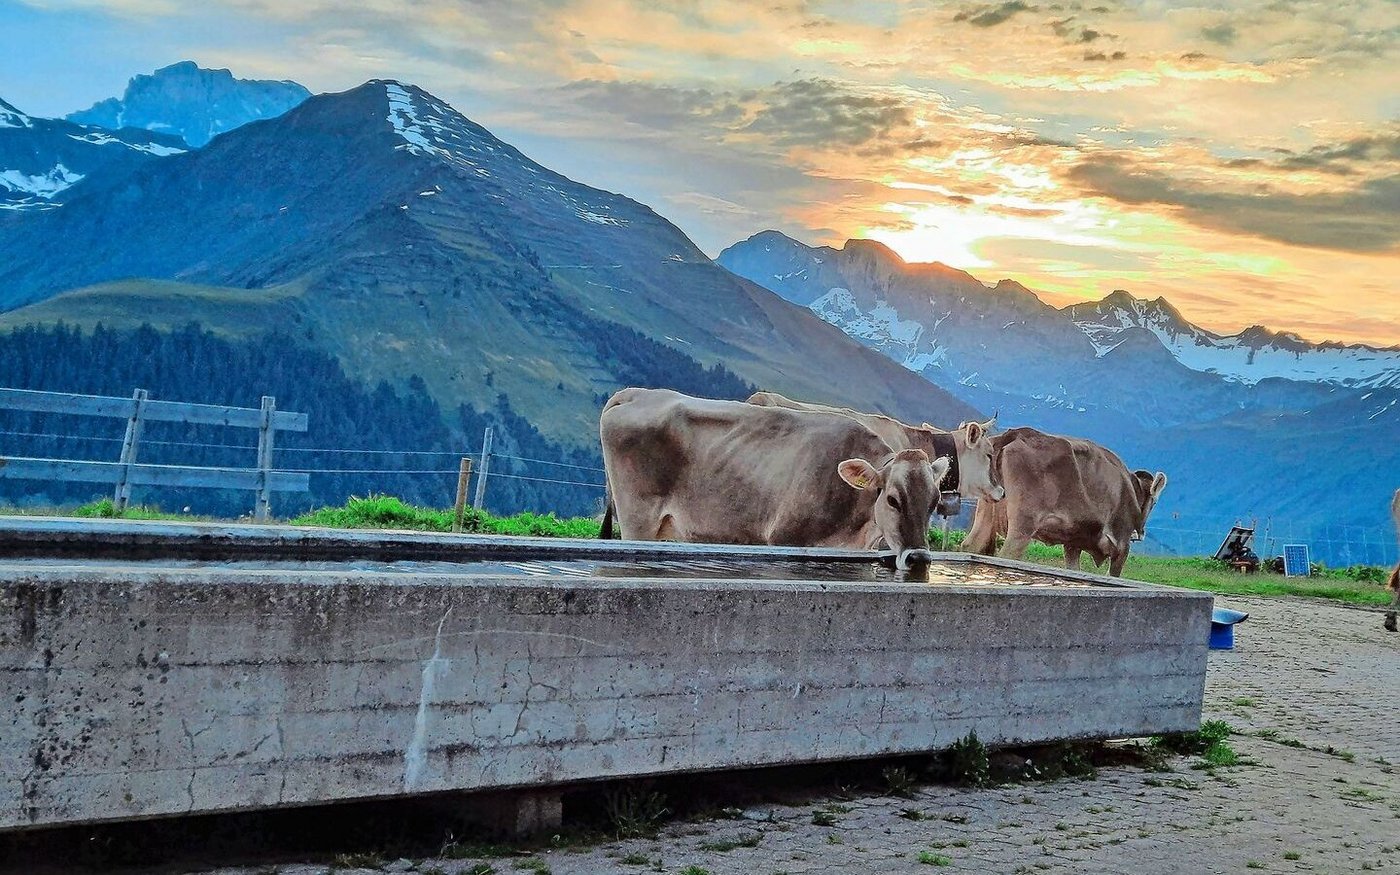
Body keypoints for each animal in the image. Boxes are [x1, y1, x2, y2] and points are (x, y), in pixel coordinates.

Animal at [599, 387, 950, 570]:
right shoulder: (786, 538)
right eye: (892, 499)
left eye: (934, 503)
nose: (919, 559)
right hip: (637, 519)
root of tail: (635, 394)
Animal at [963, 426, 1167, 577]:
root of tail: (1016, 434)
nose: (1141, 534)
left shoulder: (1073, 543)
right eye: (1155, 502)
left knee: (971, 546)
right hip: (1023, 524)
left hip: (987, 509)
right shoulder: (1121, 544)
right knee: (1008, 554)